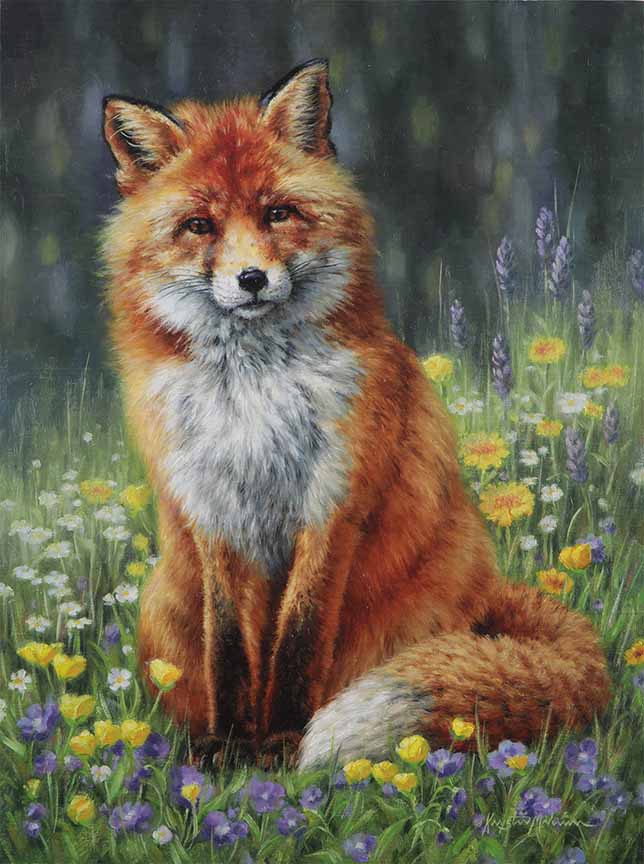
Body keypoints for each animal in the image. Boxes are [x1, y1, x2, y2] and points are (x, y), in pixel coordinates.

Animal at [101, 59, 610, 769]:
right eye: (200, 226)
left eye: (278, 213)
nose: (252, 279)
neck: (256, 392)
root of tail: (489, 590)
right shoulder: (215, 511)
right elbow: (230, 647)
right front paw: (230, 747)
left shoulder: (335, 498)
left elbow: (299, 637)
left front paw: (285, 743)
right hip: (161, 605)